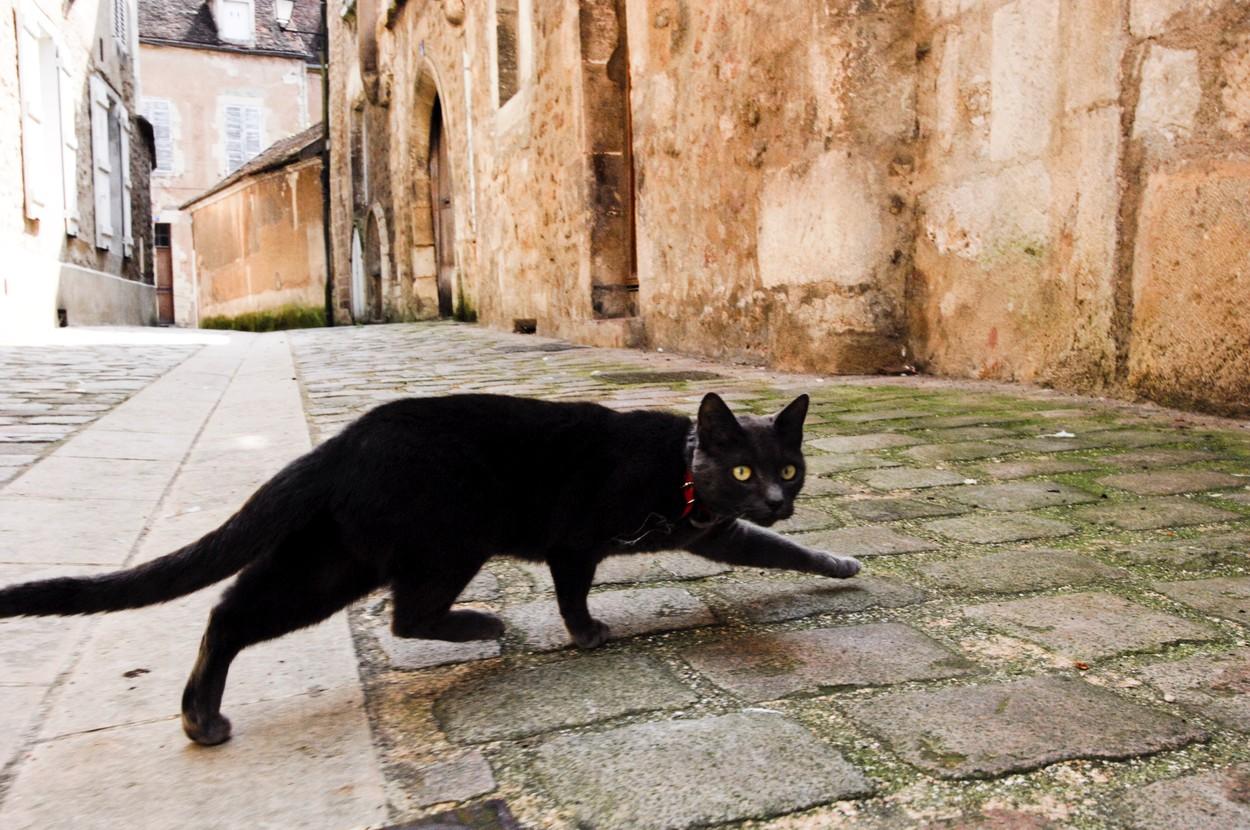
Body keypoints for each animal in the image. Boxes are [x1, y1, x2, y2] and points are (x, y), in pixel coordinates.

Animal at [0, 392, 860, 750]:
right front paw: (585, 634)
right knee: (405, 613)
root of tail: (341, 443)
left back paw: (197, 717)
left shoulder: (714, 535)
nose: (777, 498)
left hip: (332, 559)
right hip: (449, 537)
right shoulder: (576, 540)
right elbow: (574, 591)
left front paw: (834, 560)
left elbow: (778, 551)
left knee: (232, 612)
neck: (680, 474)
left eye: (789, 467)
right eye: (744, 470)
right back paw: (485, 624)